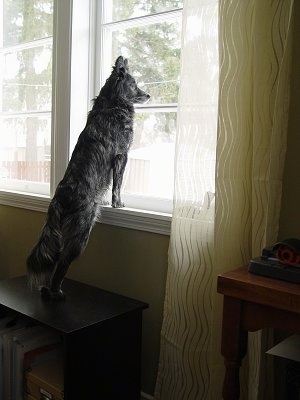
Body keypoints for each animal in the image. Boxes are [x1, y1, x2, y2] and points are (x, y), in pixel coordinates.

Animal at [27, 56, 150, 300]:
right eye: (134, 85)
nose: (148, 95)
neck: (112, 102)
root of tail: (59, 198)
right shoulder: (122, 155)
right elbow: (117, 184)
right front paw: (118, 204)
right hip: (80, 235)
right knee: (62, 263)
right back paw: (56, 292)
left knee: (54, 260)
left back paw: (47, 290)